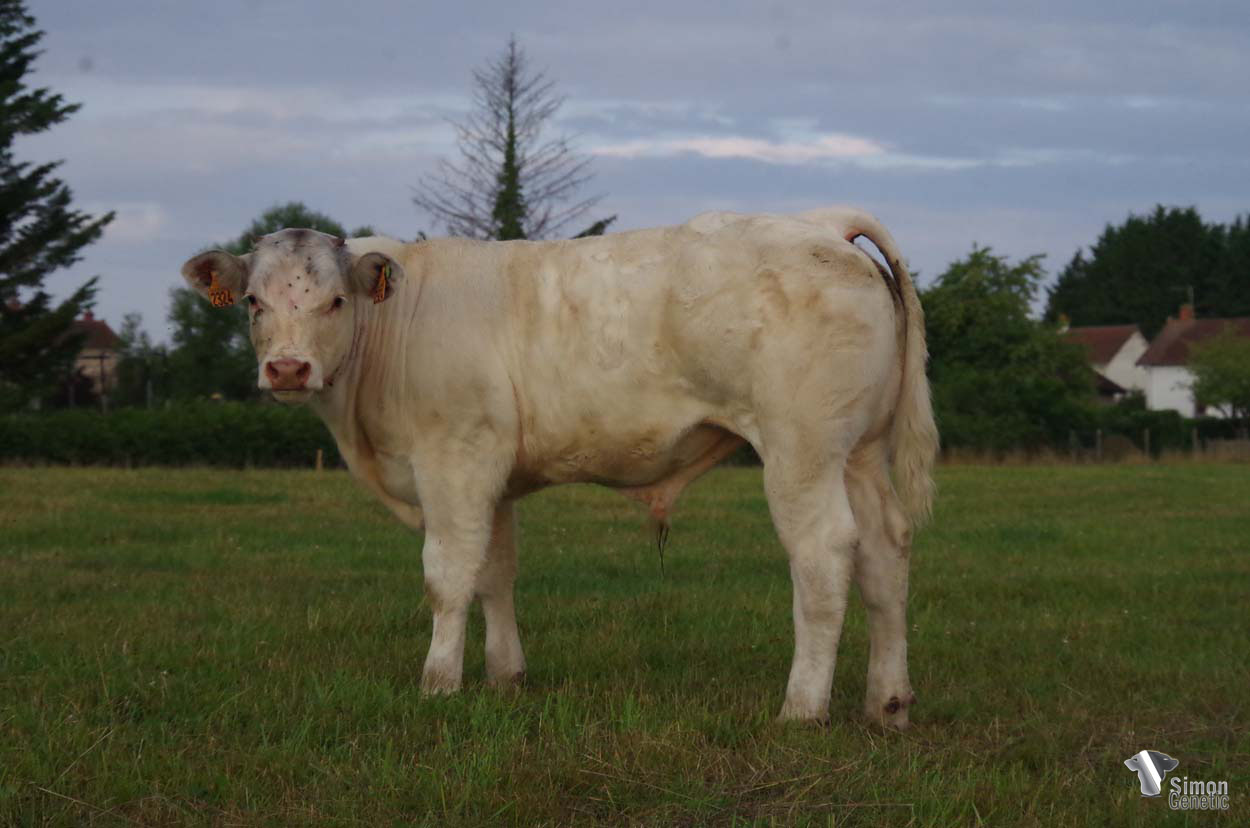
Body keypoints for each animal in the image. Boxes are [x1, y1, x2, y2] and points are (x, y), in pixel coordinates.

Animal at [180, 206, 938, 727]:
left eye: (335, 301)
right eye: (254, 302)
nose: (287, 369)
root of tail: (822, 222)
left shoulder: (455, 462)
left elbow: (447, 577)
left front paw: (439, 682)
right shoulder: (492, 476)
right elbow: (494, 573)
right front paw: (504, 676)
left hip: (801, 450)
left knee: (824, 557)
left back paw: (803, 708)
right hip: (858, 452)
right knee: (885, 553)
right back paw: (888, 703)